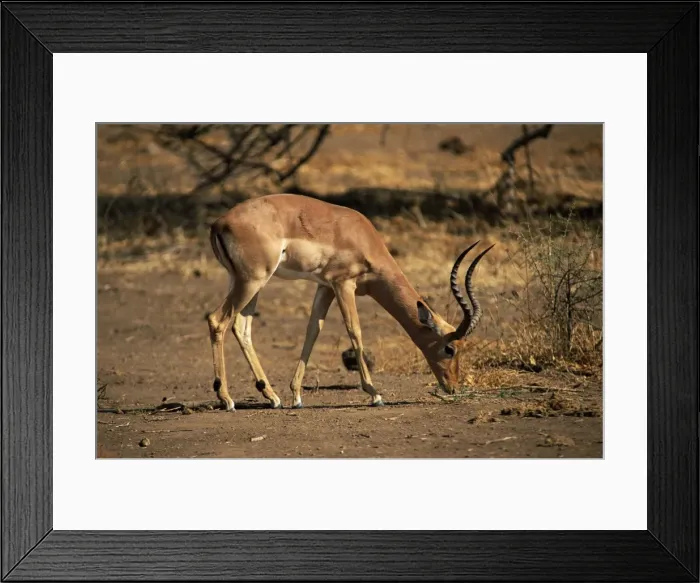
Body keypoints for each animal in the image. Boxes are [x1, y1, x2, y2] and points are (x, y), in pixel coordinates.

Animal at [206, 193, 494, 411]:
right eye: (450, 349)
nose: (452, 386)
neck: (361, 237)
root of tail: (219, 224)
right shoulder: (344, 283)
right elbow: (354, 330)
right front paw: (375, 394)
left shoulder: (325, 286)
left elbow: (313, 330)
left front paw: (296, 395)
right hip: (253, 281)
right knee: (217, 320)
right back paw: (227, 399)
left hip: (246, 282)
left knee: (241, 327)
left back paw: (272, 397)